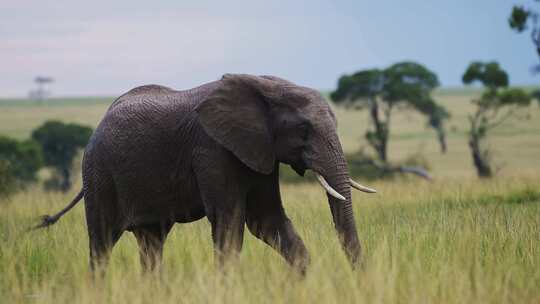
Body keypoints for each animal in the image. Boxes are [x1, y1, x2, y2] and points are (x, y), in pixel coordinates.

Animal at [37, 75, 376, 274]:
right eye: (303, 129)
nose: (359, 278)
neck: (265, 84)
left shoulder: (260, 150)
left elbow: (266, 219)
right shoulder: (211, 149)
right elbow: (229, 221)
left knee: (151, 241)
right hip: (98, 173)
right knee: (103, 242)